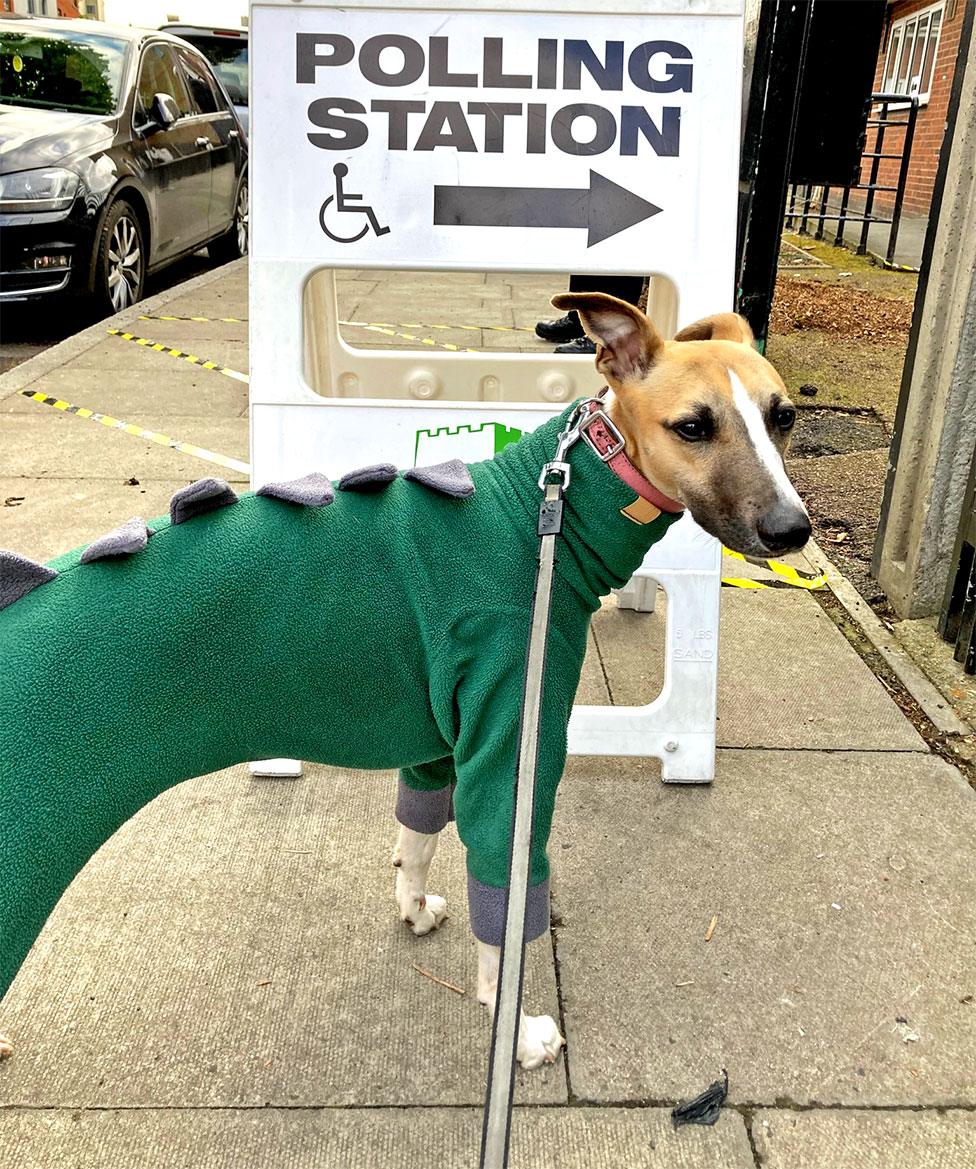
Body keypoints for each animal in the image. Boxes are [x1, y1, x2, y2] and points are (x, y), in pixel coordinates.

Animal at [0, 292, 808, 1070]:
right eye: (693, 426)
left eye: (784, 416)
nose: (792, 529)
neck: (538, 512)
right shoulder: (509, 743)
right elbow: (503, 909)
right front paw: (515, 1034)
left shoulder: (441, 742)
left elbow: (417, 835)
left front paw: (414, 909)